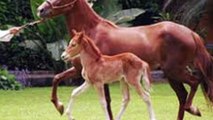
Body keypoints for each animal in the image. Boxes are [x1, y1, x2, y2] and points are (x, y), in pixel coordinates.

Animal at [36, 0, 213, 119]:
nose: (40, 9)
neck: (92, 32)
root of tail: (191, 33)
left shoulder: (98, 78)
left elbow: (106, 102)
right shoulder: (79, 71)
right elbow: (56, 78)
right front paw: (59, 106)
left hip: (174, 71)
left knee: (194, 84)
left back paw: (193, 109)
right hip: (172, 75)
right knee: (182, 95)